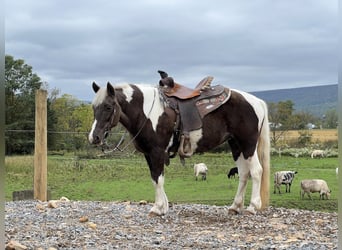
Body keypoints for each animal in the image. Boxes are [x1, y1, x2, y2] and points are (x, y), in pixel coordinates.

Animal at [89, 72, 272, 215]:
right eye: (93, 107)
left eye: (108, 106)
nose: (94, 137)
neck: (147, 111)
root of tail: (257, 101)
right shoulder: (149, 154)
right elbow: (155, 178)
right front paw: (163, 207)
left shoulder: (157, 151)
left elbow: (158, 178)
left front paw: (157, 208)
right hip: (236, 145)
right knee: (244, 173)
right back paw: (235, 206)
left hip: (248, 144)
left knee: (256, 171)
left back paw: (252, 207)